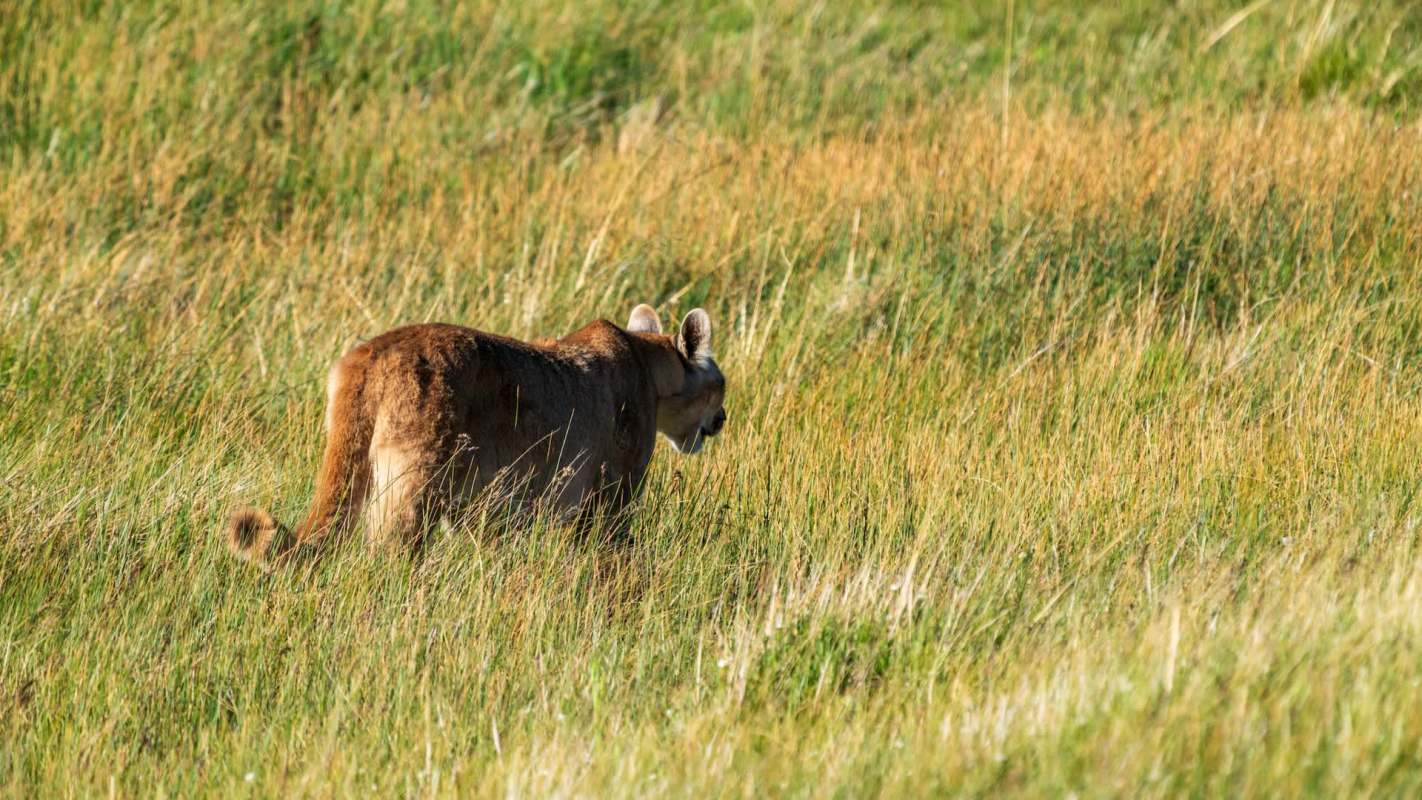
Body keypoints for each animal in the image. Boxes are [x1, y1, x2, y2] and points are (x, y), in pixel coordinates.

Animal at [223, 304, 727, 569]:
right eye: (721, 384)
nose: (723, 418)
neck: (647, 363)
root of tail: (370, 354)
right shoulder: (609, 499)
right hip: (412, 490)